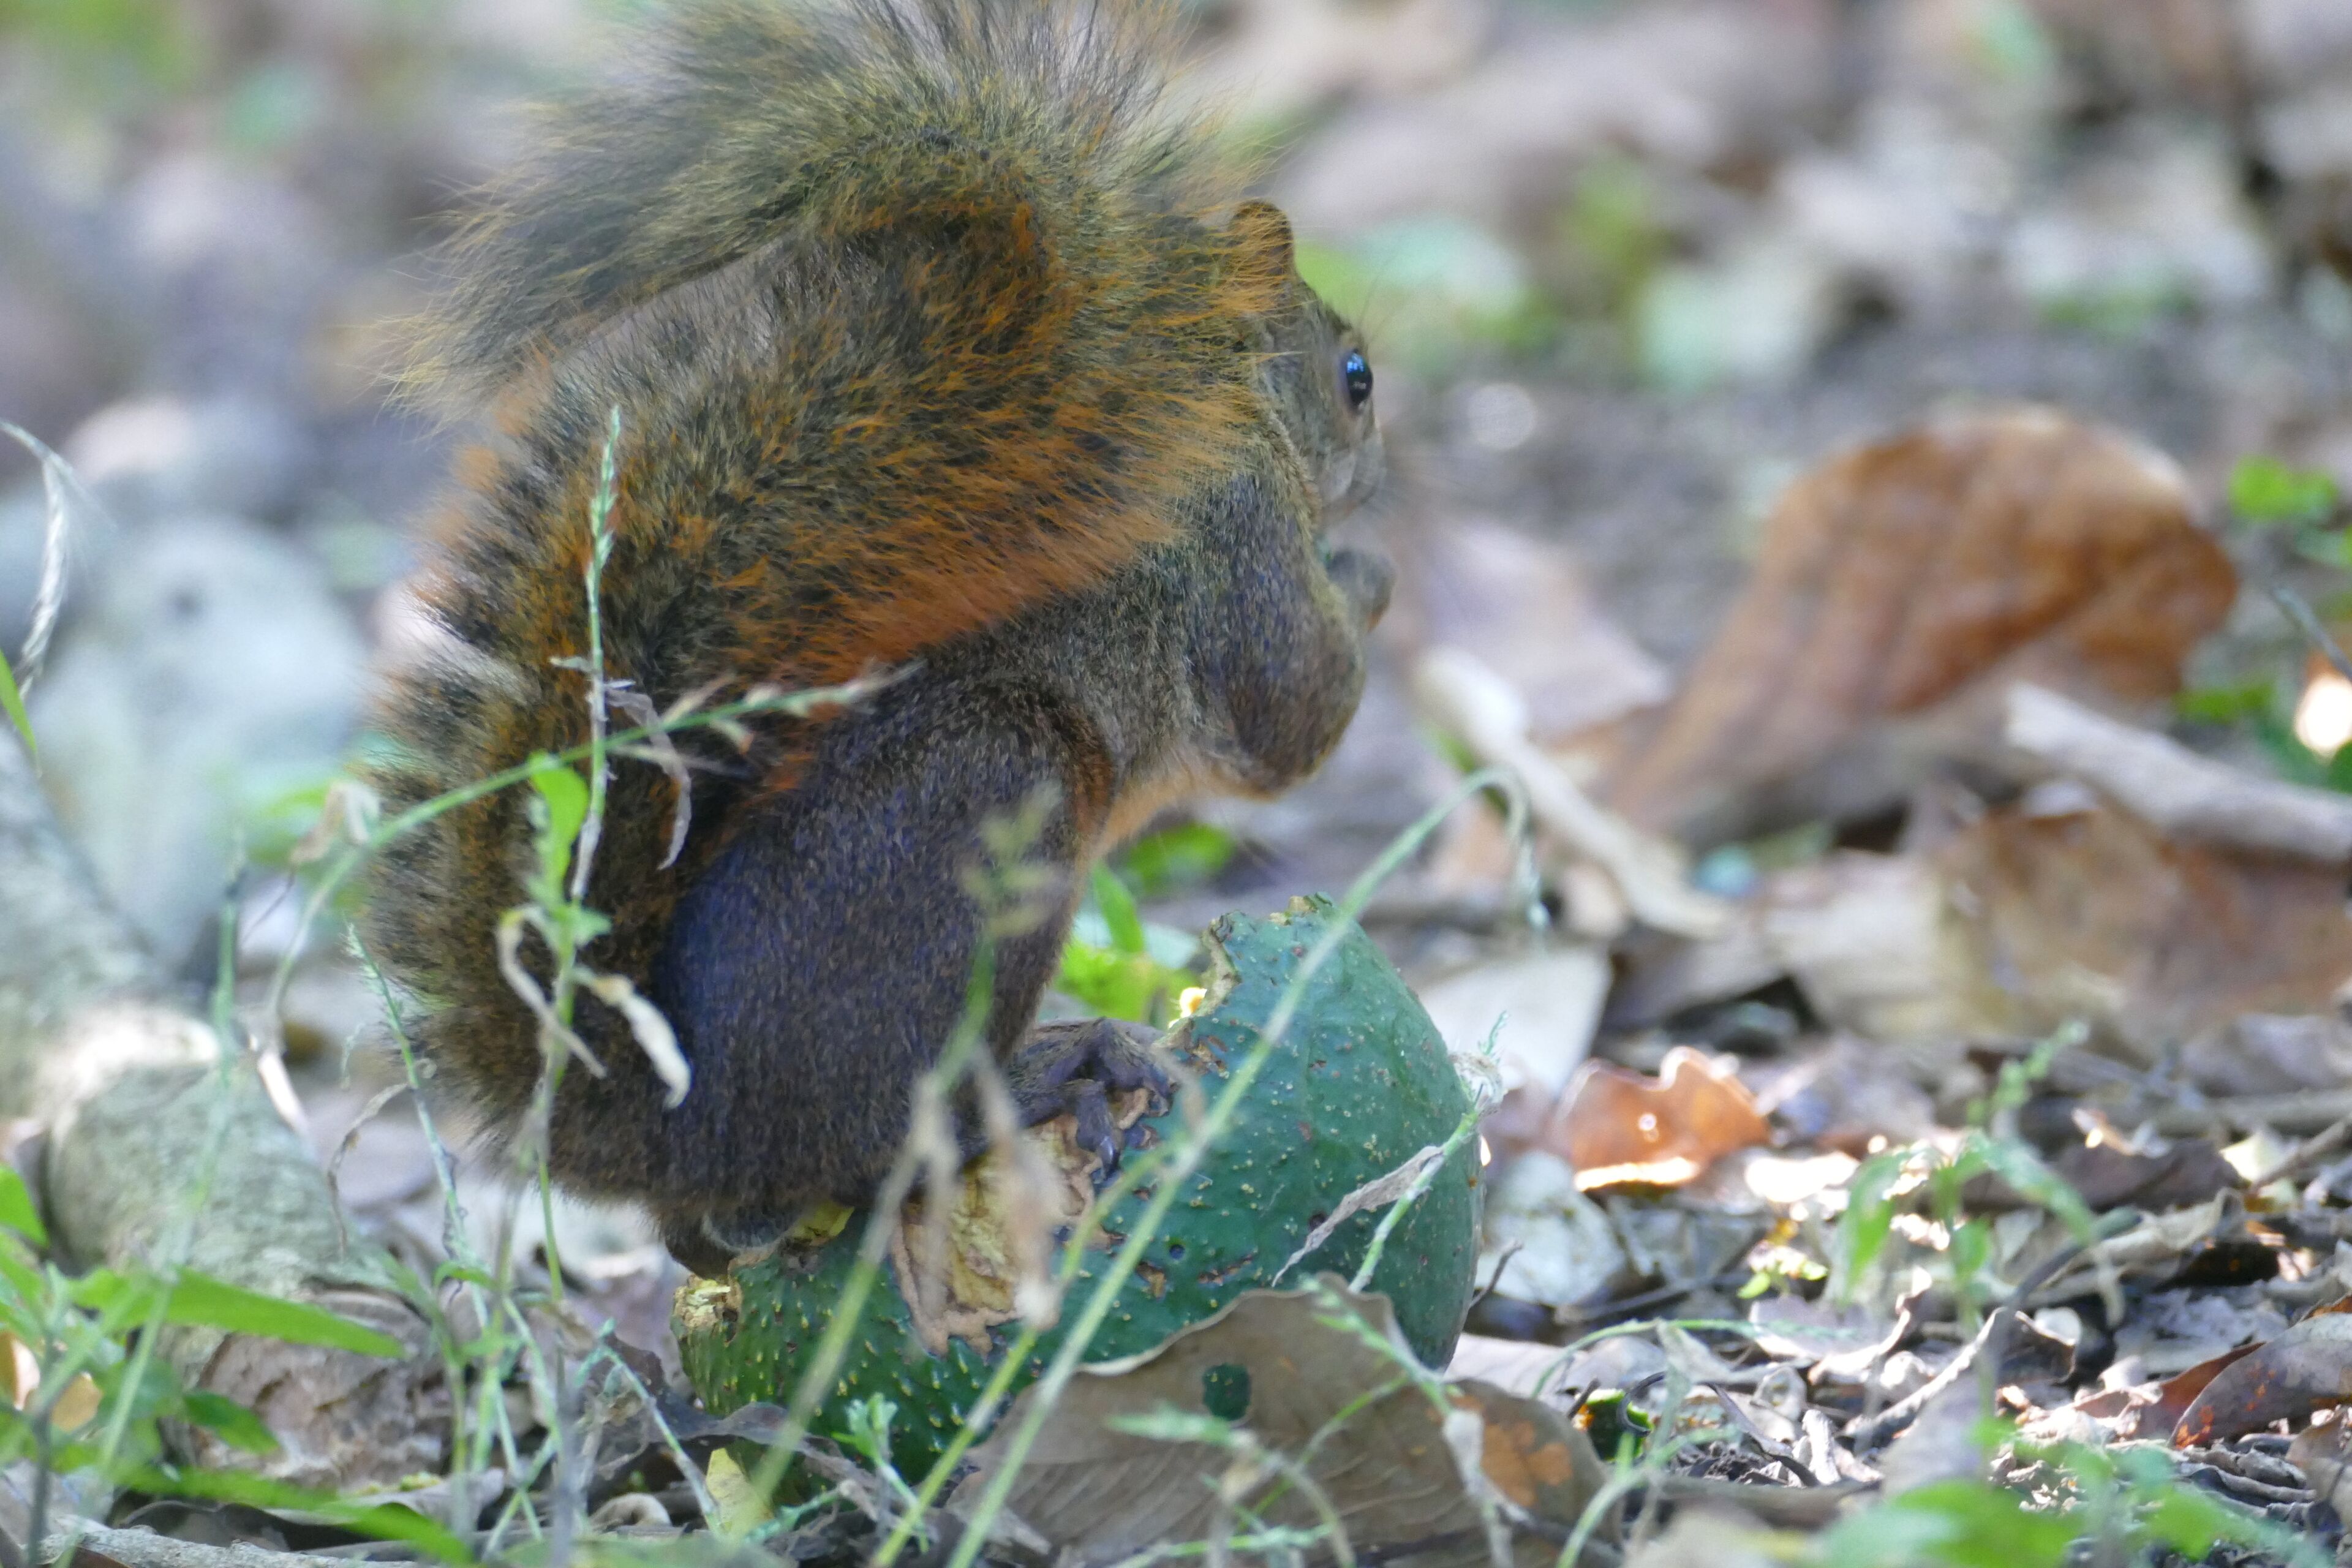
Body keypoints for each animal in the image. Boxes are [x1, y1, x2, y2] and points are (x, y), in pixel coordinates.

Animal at [362, 0, 1390, 1277]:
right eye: (1355, 375)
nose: (1379, 473)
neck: (1217, 398)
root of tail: (657, 1127)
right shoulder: (1244, 530)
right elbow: (1298, 711)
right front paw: (1370, 579)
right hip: (1000, 794)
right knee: (877, 1148)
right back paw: (1063, 1066)